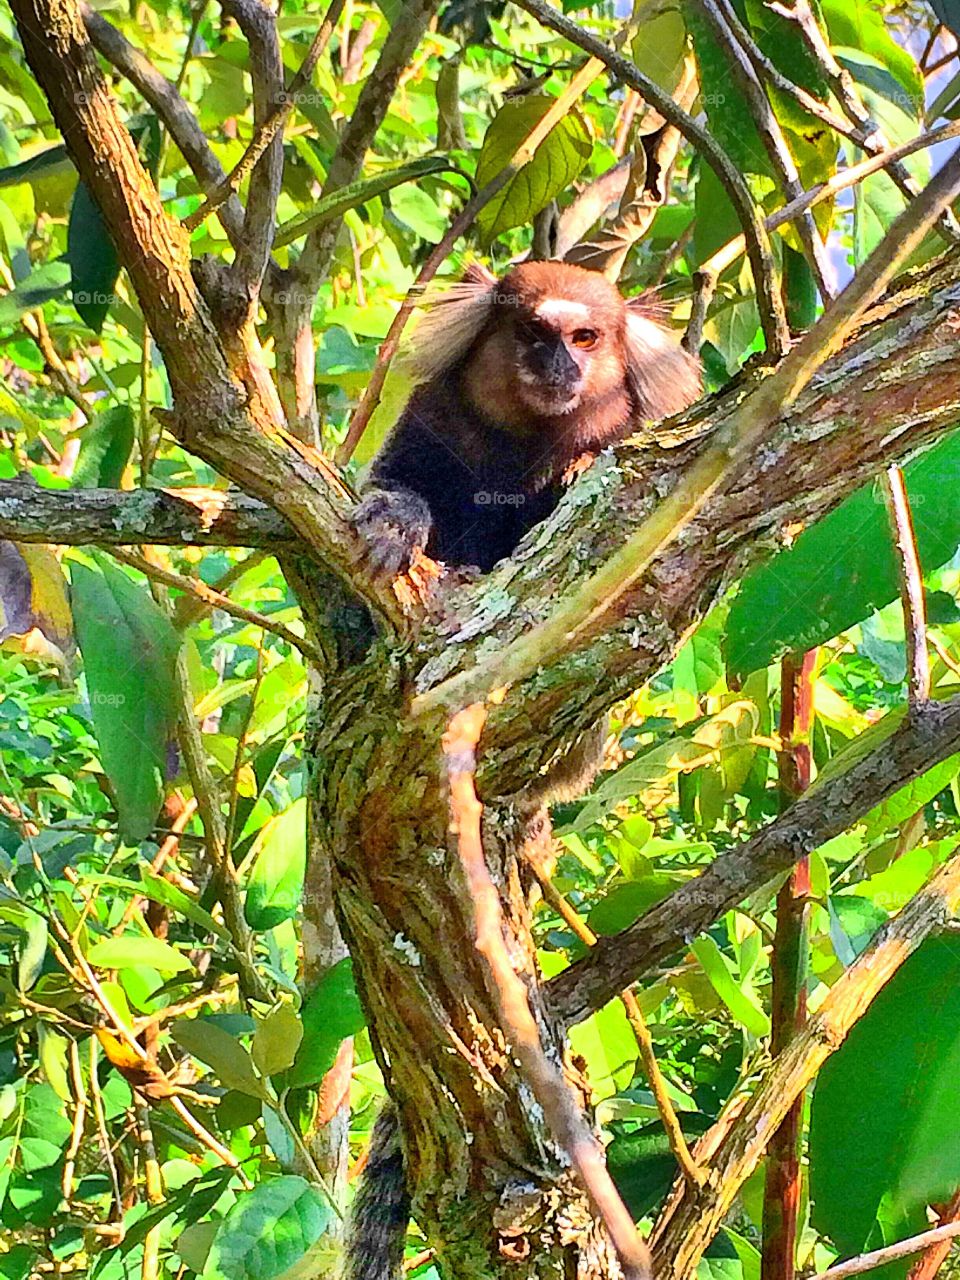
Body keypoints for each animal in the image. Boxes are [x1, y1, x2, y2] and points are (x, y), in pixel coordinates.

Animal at [345, 260, 701, 1280]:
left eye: (587, 339)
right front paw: (398, 526)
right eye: (533, 333)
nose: (558, 367)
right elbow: (400, 488)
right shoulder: (431, 421)